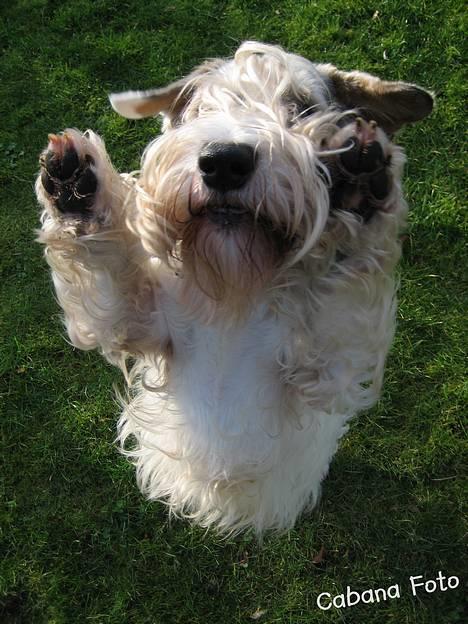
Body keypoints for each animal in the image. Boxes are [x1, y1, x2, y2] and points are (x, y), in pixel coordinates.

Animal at [34, 41, 434, 532]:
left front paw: (358, 183)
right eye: (203, 107)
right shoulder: (136, 322)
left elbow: (345, 274)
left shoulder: (325, 370)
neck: (234, 287)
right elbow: (105, 265)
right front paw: (75, 185)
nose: (224, 160)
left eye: (303, 108)